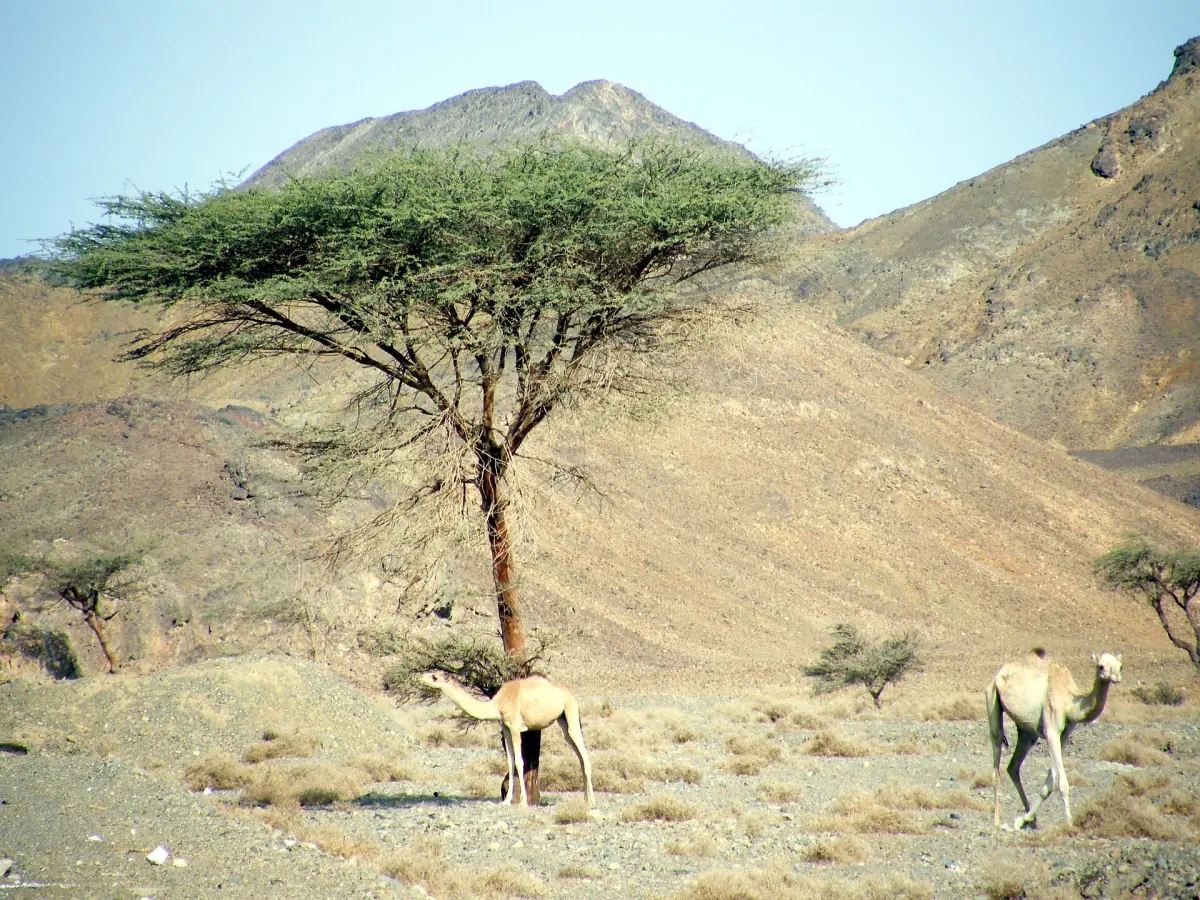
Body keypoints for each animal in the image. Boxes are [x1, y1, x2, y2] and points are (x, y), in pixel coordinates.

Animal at [419, 671, 595, 808]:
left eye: (434, 677)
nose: (421, 678)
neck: (496, 704)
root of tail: (568, 693)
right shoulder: (506, 728)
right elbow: (510, 762)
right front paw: (506, 800)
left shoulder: (516, 728)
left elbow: (519, 761)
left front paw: (523, 801)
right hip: (562, 719)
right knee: (578, 755)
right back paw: (586, 798)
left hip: (570, 711)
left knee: (584, 754)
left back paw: (592, 801)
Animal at [986, 648, 1122, 830]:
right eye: (1101, 666)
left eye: (1120, 666)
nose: (1116, 677)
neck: (1069, 701)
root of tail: (998, 673)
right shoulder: (1051, 731)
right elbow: (1062, 783)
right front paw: (1069, 823)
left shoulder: (1064, 735)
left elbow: (1050, 783)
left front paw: (1022, 820)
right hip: (992, 699)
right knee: (996, 759)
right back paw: (996, 822)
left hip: (1027, 731)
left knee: (1013, 767)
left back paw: (1033, 821)